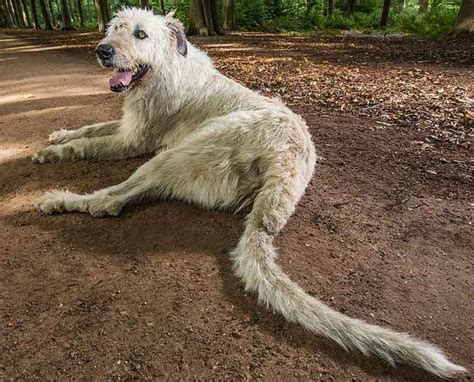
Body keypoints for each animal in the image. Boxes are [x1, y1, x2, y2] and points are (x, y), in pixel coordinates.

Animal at [32, 7, 462, 378]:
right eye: (115, 28)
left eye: (141, 34)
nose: (102, 50)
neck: (166, 67)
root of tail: (286, 170)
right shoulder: (126, 125)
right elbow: (91, 128)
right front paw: (60, 134)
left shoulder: (133, 140)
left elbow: (88, 144)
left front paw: (53, 152)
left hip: (181, 151)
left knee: (111, 200)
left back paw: (59, 199)